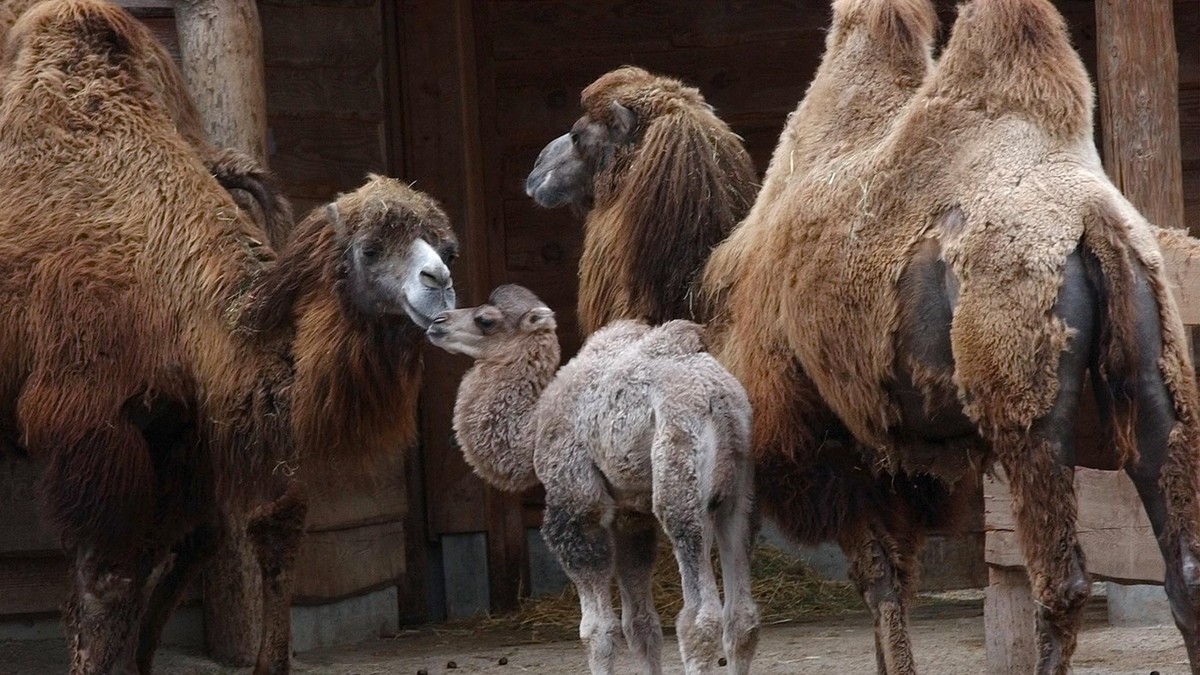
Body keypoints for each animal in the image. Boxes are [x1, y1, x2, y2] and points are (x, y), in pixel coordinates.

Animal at [0, 2, 457, 674]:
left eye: (446, 246)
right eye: (371, 249)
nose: (440, 284)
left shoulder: (179, 430)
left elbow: (217, 537)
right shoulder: (93, 423)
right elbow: (103, 584)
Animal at [427, 284, 759, 675]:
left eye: (486, 321)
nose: (437, 322)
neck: (532, 429)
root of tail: (718, 398)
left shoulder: (577, 504)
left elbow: (597, 629)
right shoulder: (632, 513)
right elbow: (640, 624)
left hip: (679, 477)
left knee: (699, 617)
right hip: (740, 487)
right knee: (741, 615)